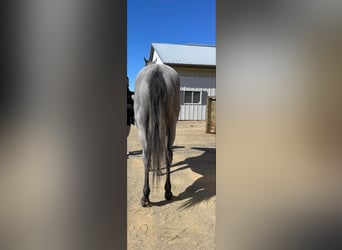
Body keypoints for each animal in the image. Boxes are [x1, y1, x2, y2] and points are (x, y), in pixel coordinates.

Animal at [134, 59, 180, 207]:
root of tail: (157, 71)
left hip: (141, 122)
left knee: (146, 154)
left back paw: (145, 196)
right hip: (172, 123)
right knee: (168, 153)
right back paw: (168, 192)